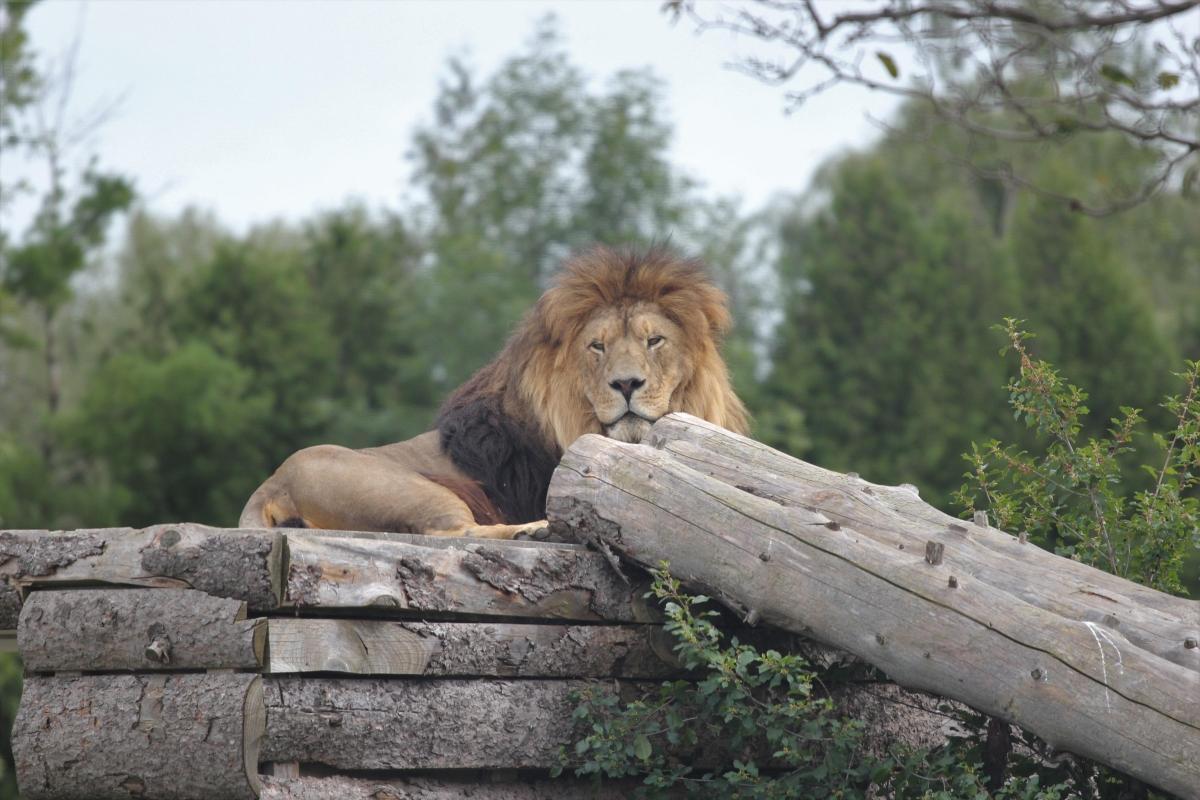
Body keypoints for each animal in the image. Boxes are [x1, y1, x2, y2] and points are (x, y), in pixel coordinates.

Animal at [240, 247, 748, 542]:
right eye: (597, 346)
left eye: (654, 341)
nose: (626, 384)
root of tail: (269, 487)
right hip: (411, 490)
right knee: (453, 534)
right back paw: (538, 530)